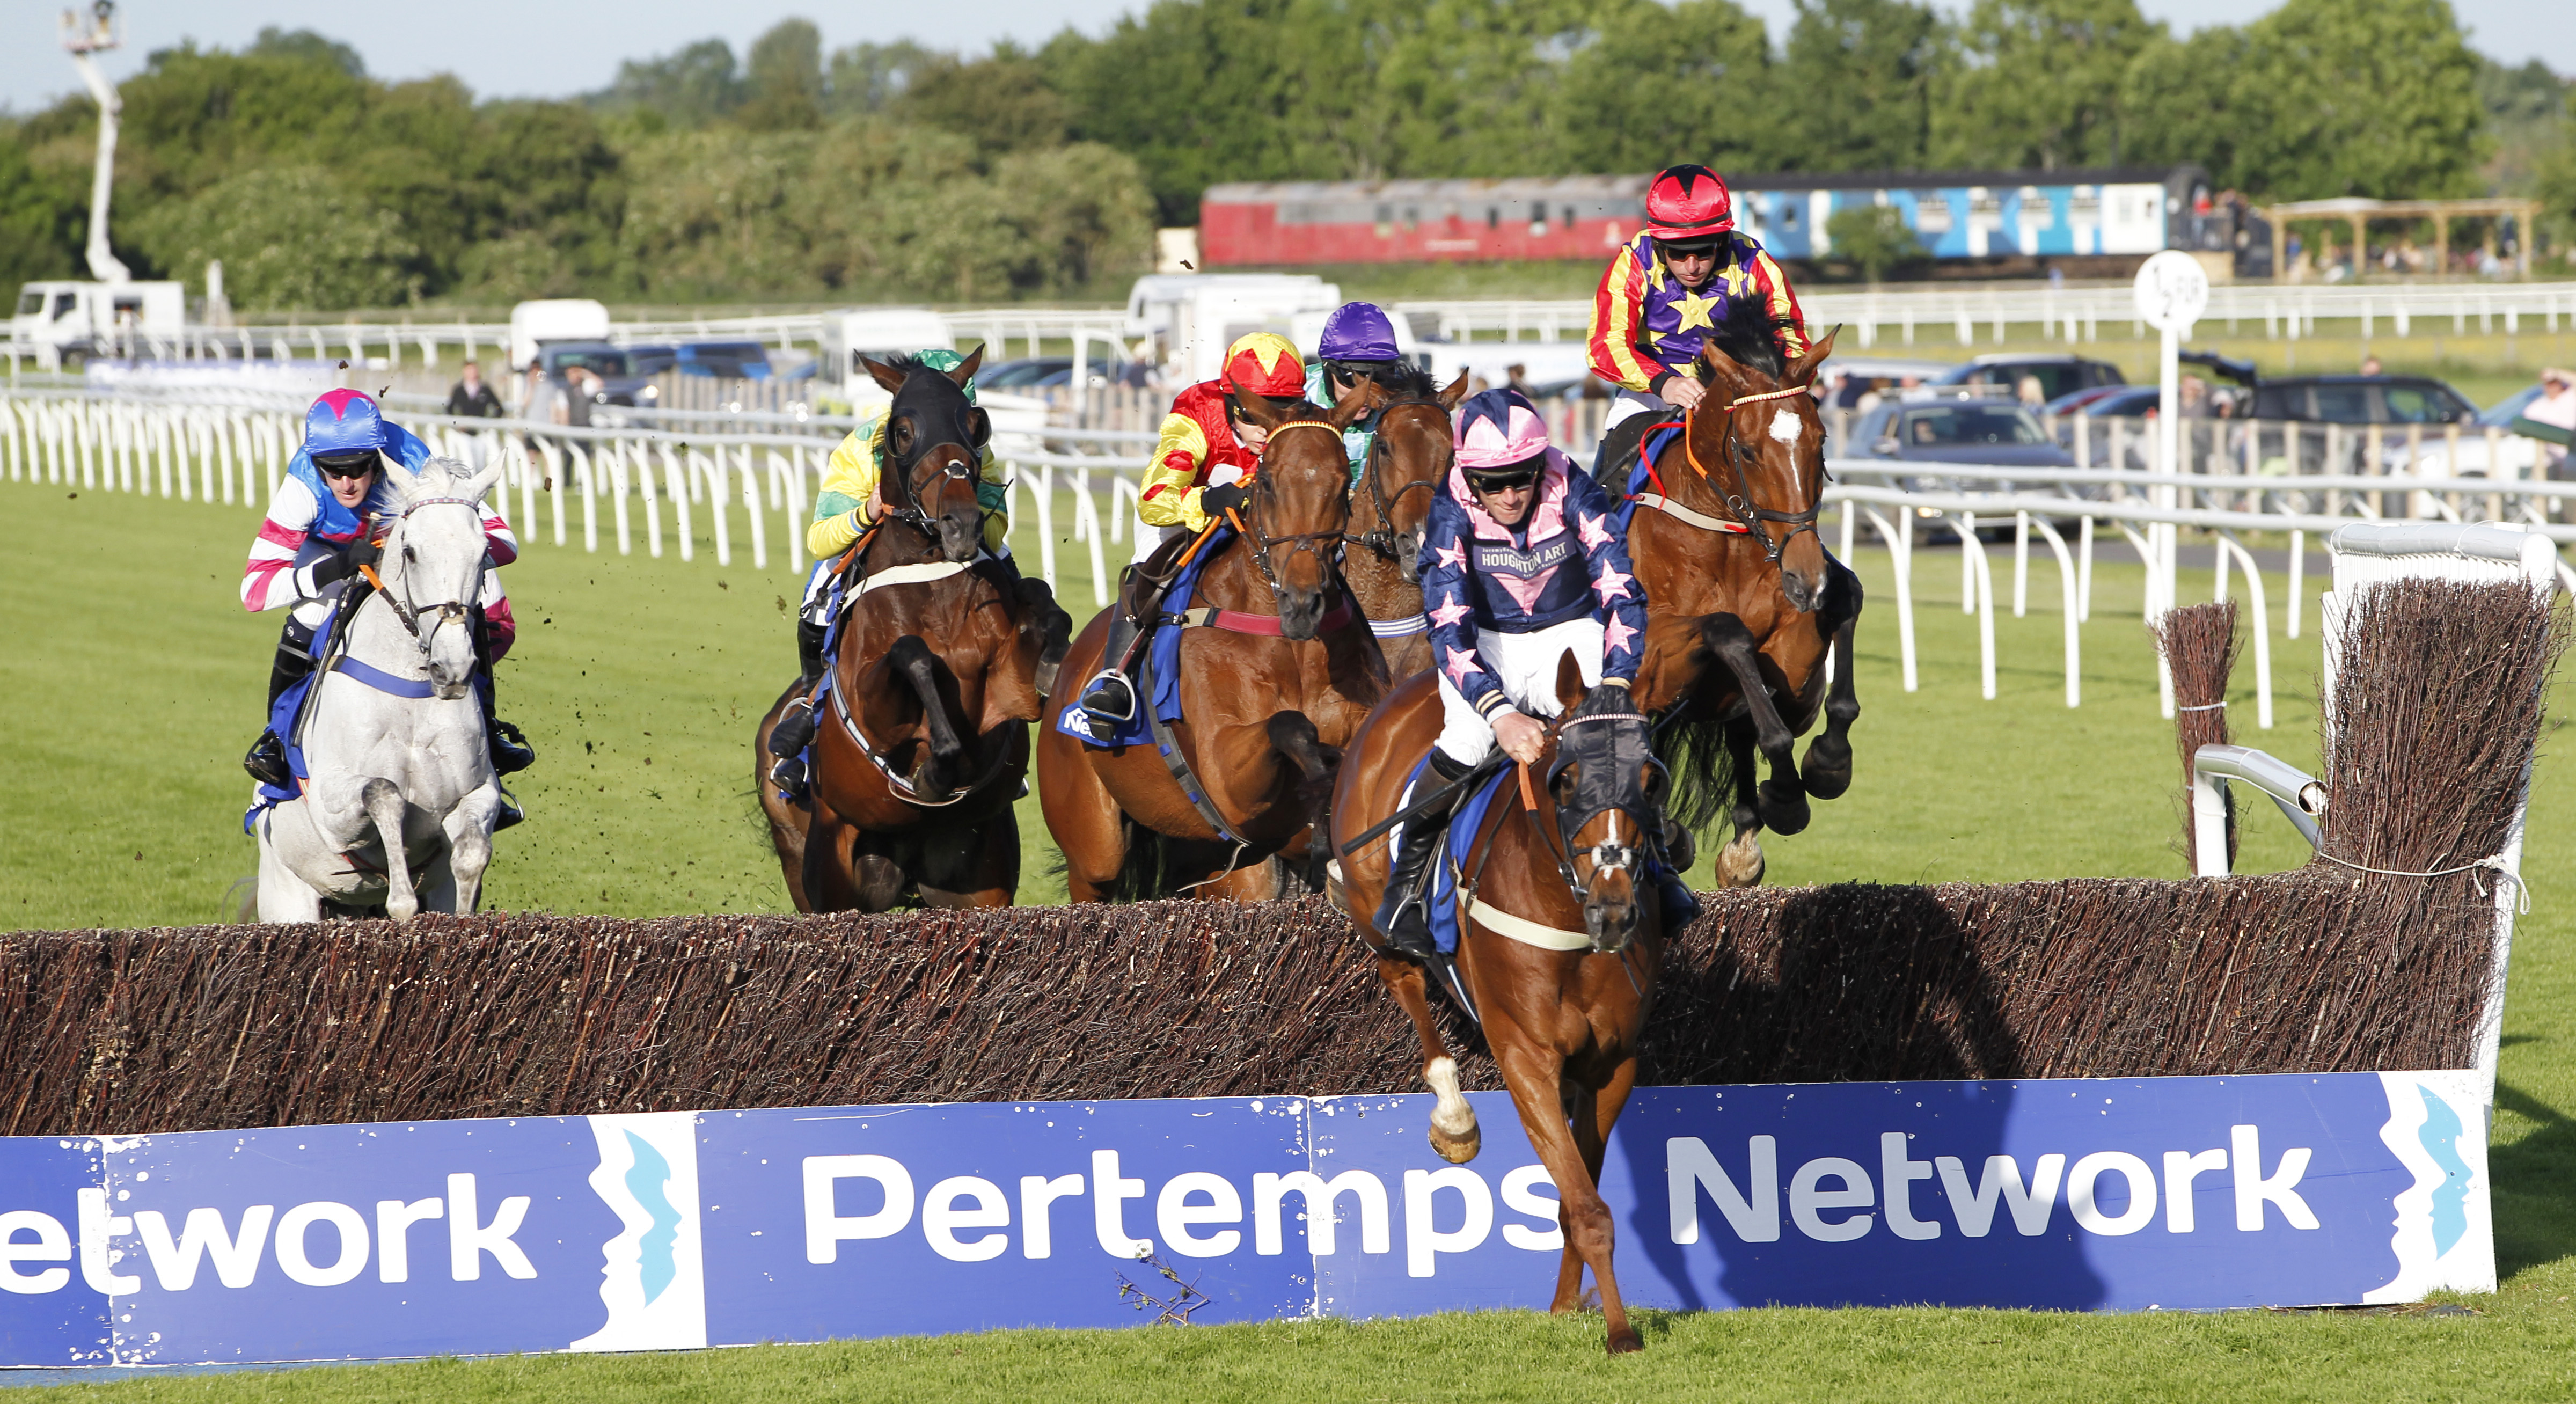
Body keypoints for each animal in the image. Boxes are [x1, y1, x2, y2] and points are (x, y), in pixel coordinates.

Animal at [752, 353, 1071, 906]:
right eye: (903, 431)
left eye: (975, 424)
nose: (961, 523)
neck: (934, 589)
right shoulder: (875, 710)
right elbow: (911, 653)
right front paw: (939, 762)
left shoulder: (1008, 689)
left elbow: (1042, 603)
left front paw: (1054, 666)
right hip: (819, 870)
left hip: (978, 879)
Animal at [1035, 384, 1391, 896]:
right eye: (1268, 483)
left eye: (1343, 483)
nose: (1303, 603)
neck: (1289, 643)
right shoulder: (1225, 775)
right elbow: (1289, 726)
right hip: (1092, 843)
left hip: (1211, 861)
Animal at [1340, 652, 1679, 1350]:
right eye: (1565, 780)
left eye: (1650, 781)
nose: (1614, 912)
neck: (1570, 921)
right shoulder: (1526, 1057)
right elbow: (1588, 1206)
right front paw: (1620, 1332)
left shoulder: (1612, 1064)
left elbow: (1577, 1195)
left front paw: (1567, 1306)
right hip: (1376, 925)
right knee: (1408, 989)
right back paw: (1454, 1118)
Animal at [1618, 313, 1865, 891]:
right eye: (1749, 450)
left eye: (1821, 441)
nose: (1805, 576)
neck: (1727, 532)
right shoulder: (1652, 640)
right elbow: (1728, 633)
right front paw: (1789, 791)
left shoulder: (1795, 642)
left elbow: (1847, 599)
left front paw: (1826, 763)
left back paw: (1743, 839)